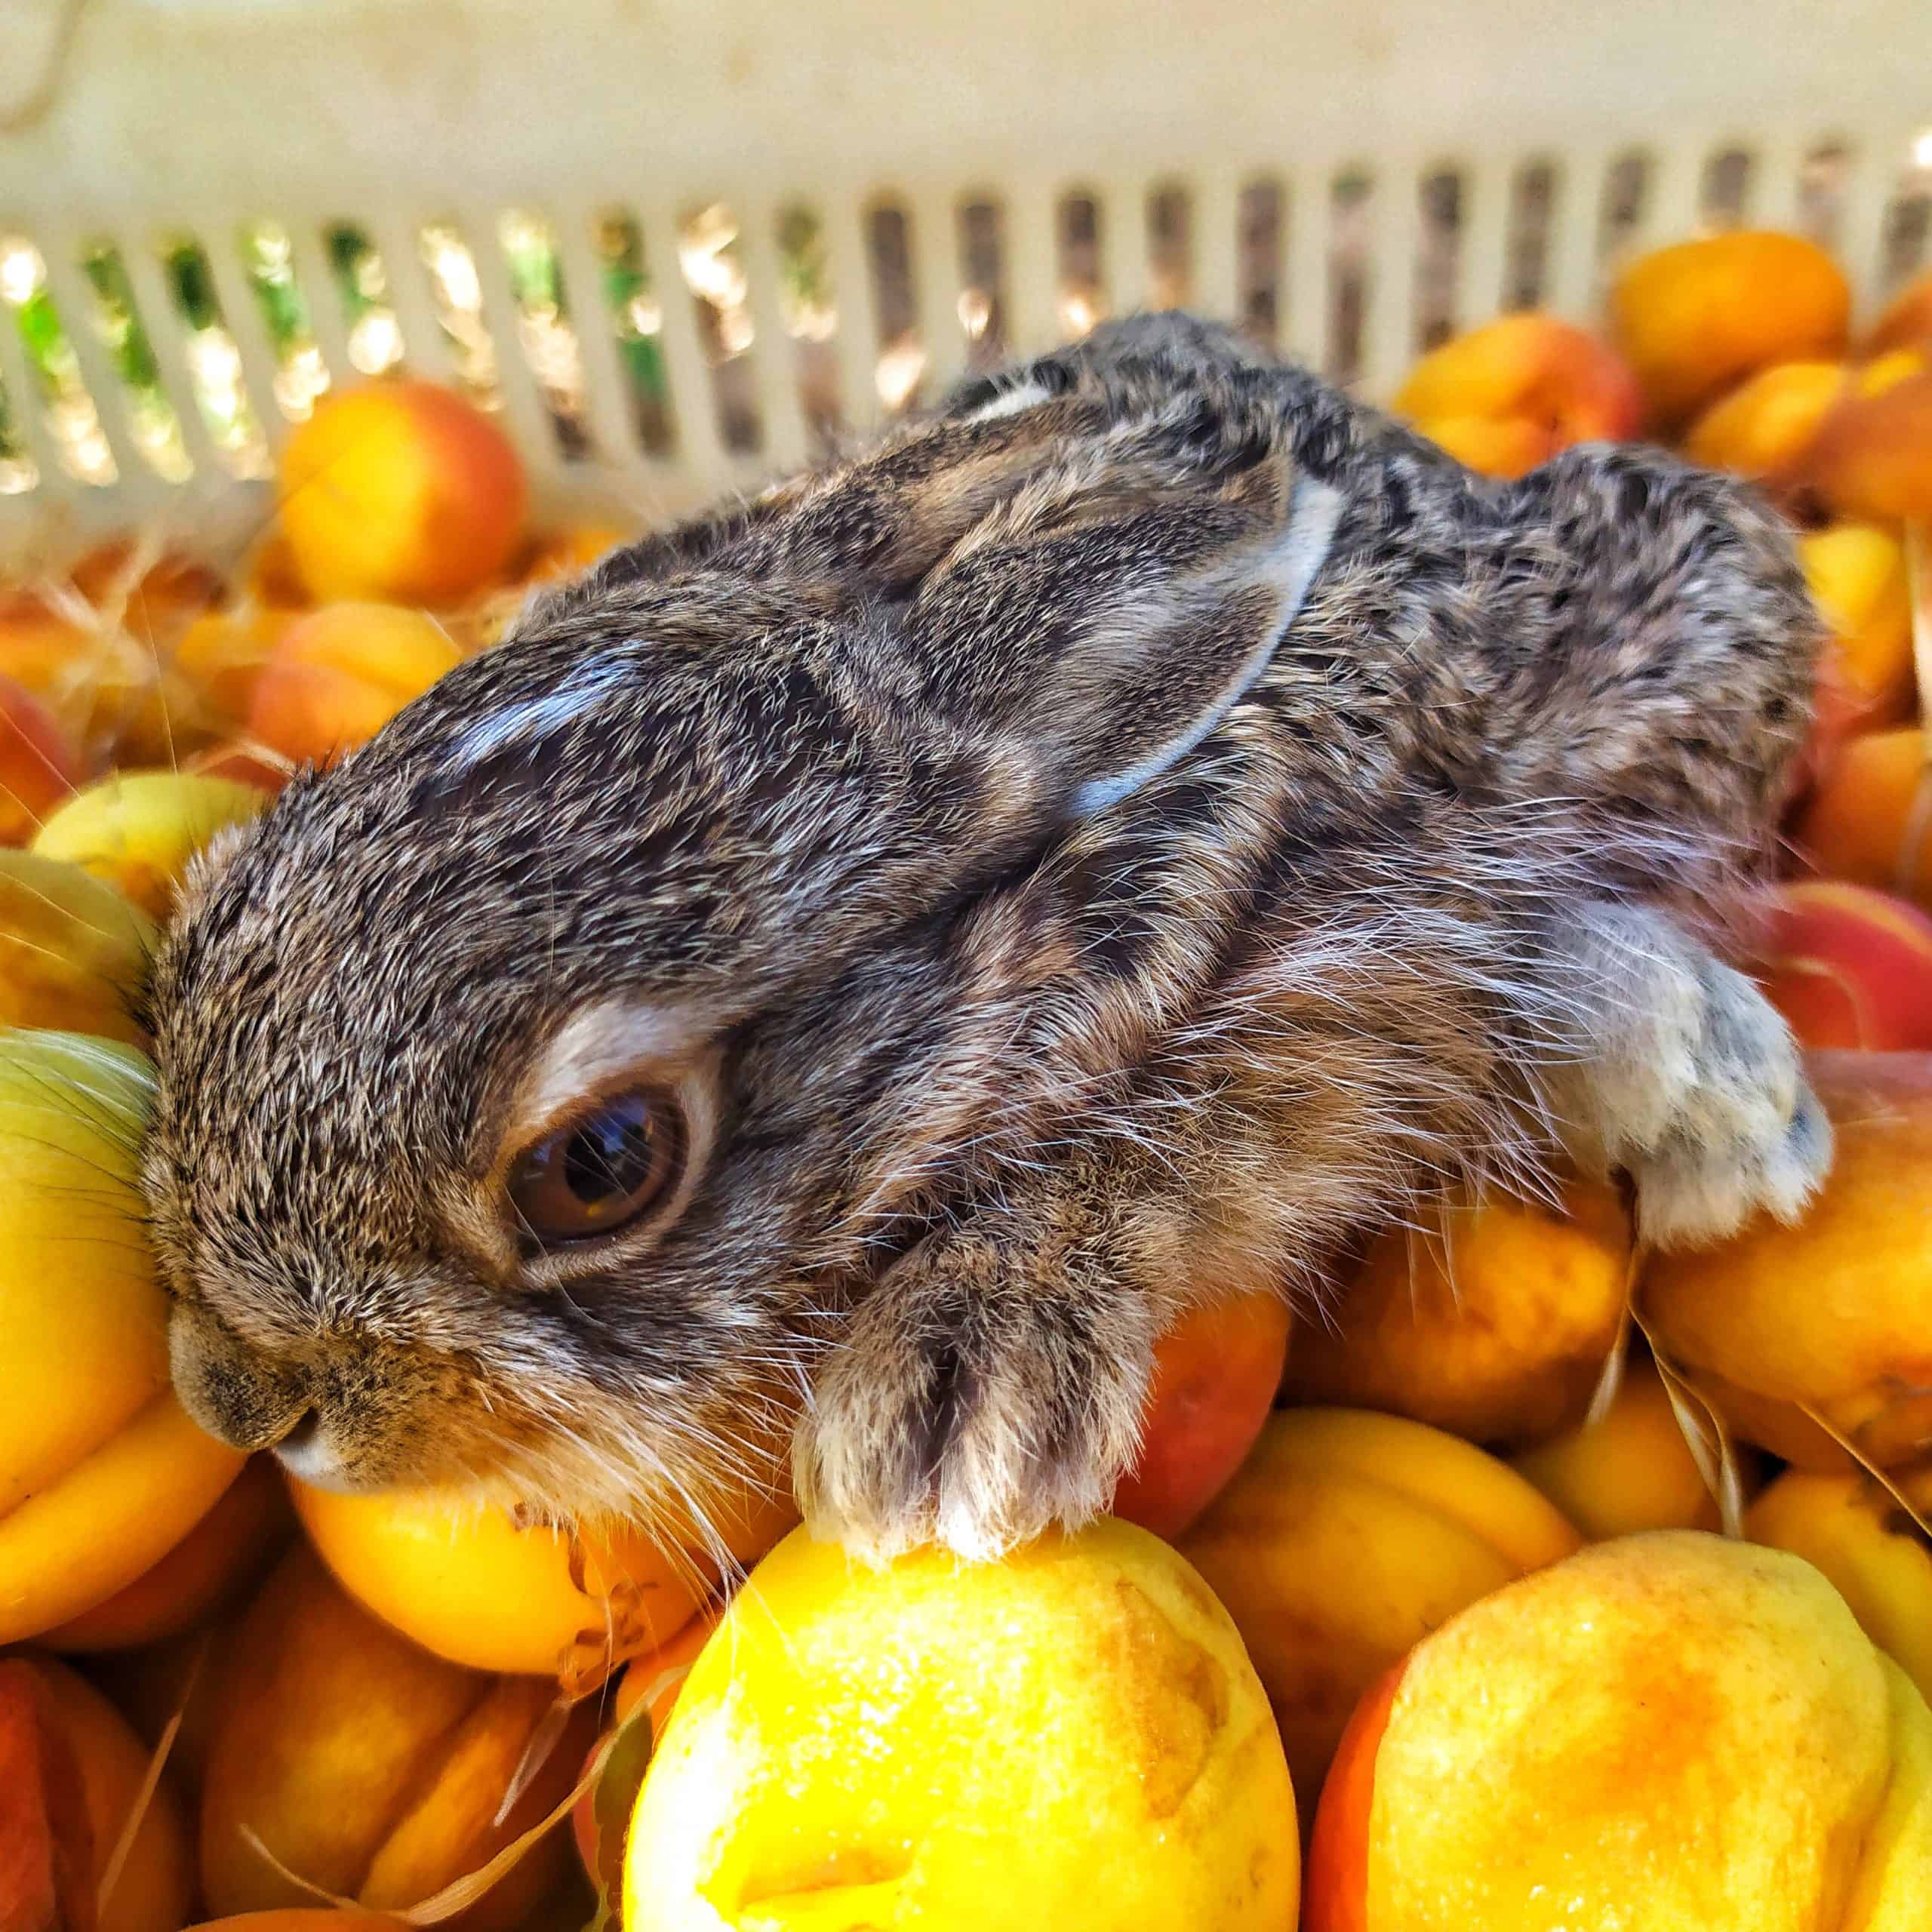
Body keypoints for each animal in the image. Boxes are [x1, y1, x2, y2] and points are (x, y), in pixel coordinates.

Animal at [143, 309, 1831, 1561]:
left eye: (601, 1164)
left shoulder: (1358, 960)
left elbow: (1200, 1135)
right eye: (206, 923)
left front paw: (952, 1399)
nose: (239, 1401)